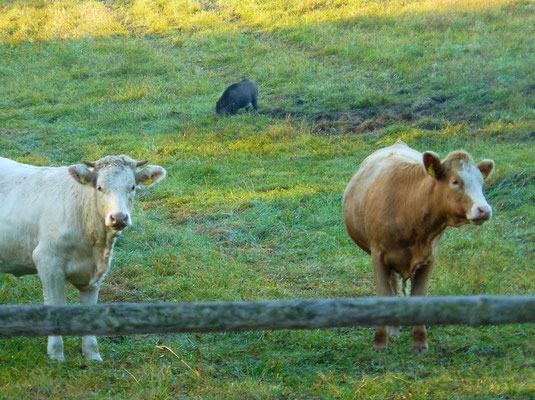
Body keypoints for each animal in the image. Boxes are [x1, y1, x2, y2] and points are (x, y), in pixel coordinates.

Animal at [0, 155, 166, 360]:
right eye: (100, 187)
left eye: (133, 186)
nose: (119, 217)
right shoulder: (47, 261)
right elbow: (55, 305)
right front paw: (56, 354)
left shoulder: (97, 273)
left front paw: (92, 355)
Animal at [344, 141, 494, 354]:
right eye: (455, 181)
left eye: (481, 182)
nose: (484, 210)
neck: (408, 206)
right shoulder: (378, 254)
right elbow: (383, 293)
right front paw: (380, 342)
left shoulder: (429, 257)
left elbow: (419, 295)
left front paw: (420, 342)